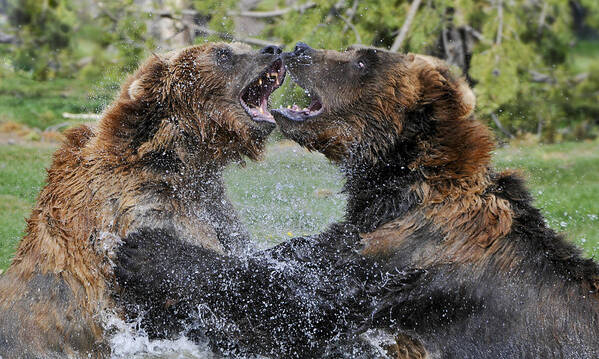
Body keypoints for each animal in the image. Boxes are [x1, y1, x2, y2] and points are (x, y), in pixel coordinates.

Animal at [116, 41, 599, 359]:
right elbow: (298, 260)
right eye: (353, 49)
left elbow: (302, 307)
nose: (300, 48)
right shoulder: (359, 231)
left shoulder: (410, 260)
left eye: (364, 59)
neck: (397, 187)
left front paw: (152, 251)